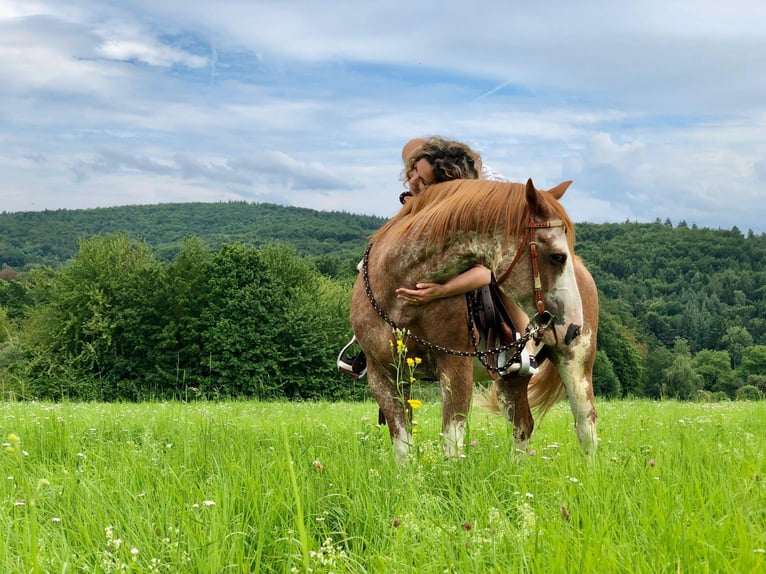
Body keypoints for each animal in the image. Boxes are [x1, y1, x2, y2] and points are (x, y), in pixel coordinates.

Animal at [350, 178, 598, 460]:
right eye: (557, 256)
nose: (573, 327)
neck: (398, 291)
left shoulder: (455, 368)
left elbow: (451, 444)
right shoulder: (383, 375)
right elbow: (403, 449)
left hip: (575, 364)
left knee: (585, 426)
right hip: (511, 379)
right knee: (522, 426)